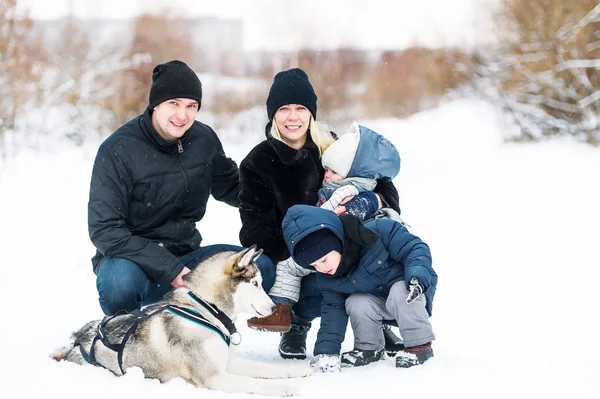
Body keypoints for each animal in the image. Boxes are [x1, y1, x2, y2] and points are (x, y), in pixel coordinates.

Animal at [51, 247, 310, 396]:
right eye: (255, 283)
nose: (274, 307)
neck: (207, 310)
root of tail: (76, 339)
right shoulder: (214, 376)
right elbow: (253, 383)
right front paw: (283, 388)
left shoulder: (227, 363)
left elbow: (267, 369)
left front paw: (296, 371)